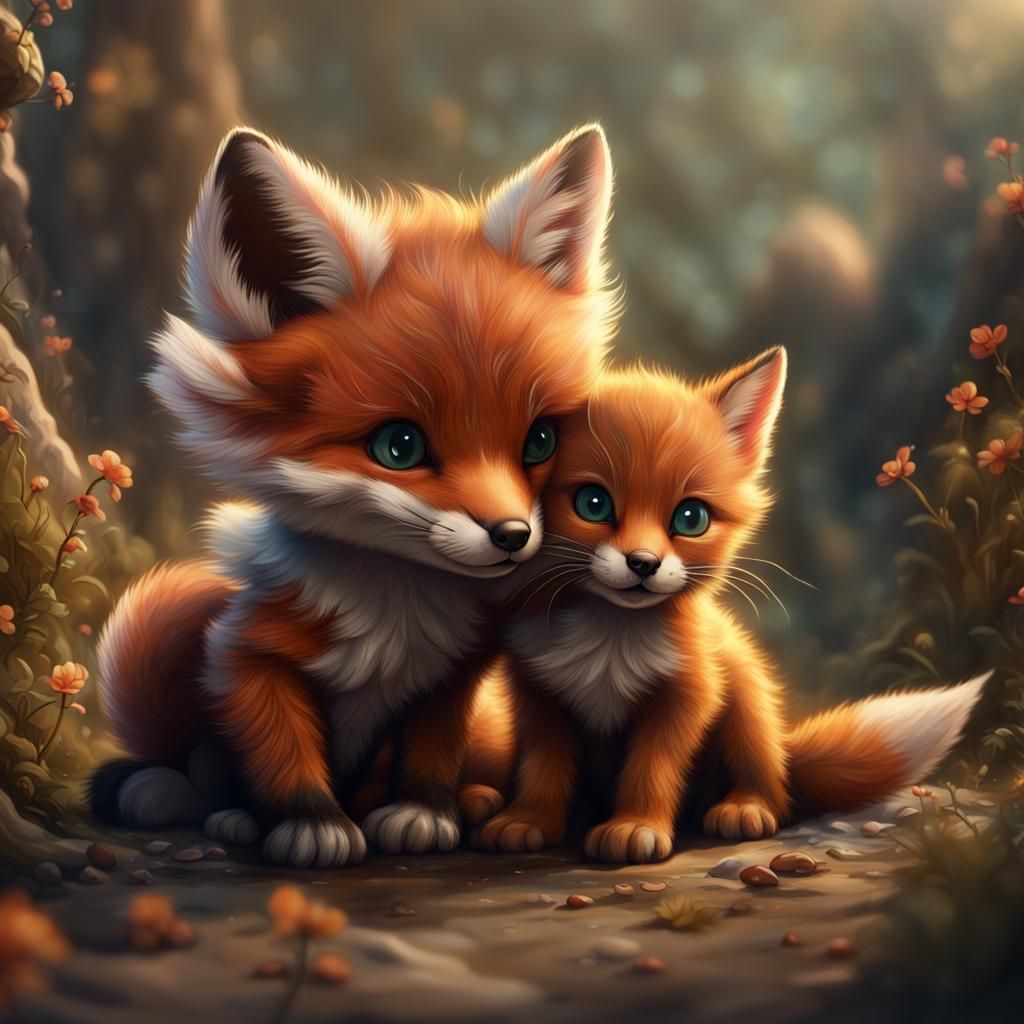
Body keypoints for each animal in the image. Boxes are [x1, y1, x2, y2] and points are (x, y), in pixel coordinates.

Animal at [90, 123, 621, 868]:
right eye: (399, 447)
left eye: (541, 440)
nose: (514, 537)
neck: (392, 613)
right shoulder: (246, 654)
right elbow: (281, 749)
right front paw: (310, 826)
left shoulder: (451, 672)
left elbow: (432, 748)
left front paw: (421, 812)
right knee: (186, 771)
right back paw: (212, 809)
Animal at [477, 349, 988, 862]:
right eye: (593, 504)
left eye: (691, 518)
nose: (643, 563)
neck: (609, 645)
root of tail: (786, 755)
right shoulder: (538, 693)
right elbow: (543, 767)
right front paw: (530, 819)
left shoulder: (690, 691)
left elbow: (651, 768)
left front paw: (636, 825)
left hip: (746, 701)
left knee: (773, 789)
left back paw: (746, 807)